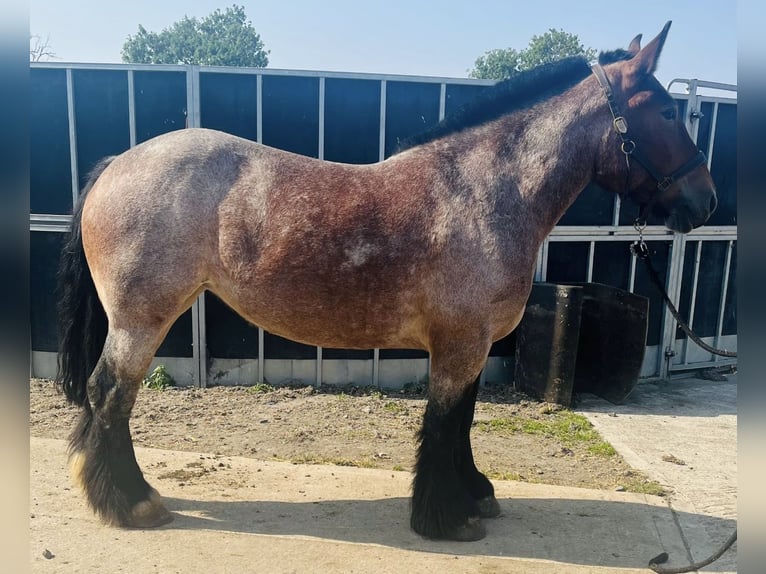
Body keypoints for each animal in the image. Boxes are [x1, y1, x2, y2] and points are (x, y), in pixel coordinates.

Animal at [57, 23, 716, 544]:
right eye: (664, 112)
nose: (704, 201)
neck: (483, 190)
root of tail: (116, 166)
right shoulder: (460, 343)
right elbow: (445, 421)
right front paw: (447, 518)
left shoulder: (470, 346)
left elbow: (464, 419)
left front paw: (475, 493)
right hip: (141, 320)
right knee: (110, 394)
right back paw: (134, 504)